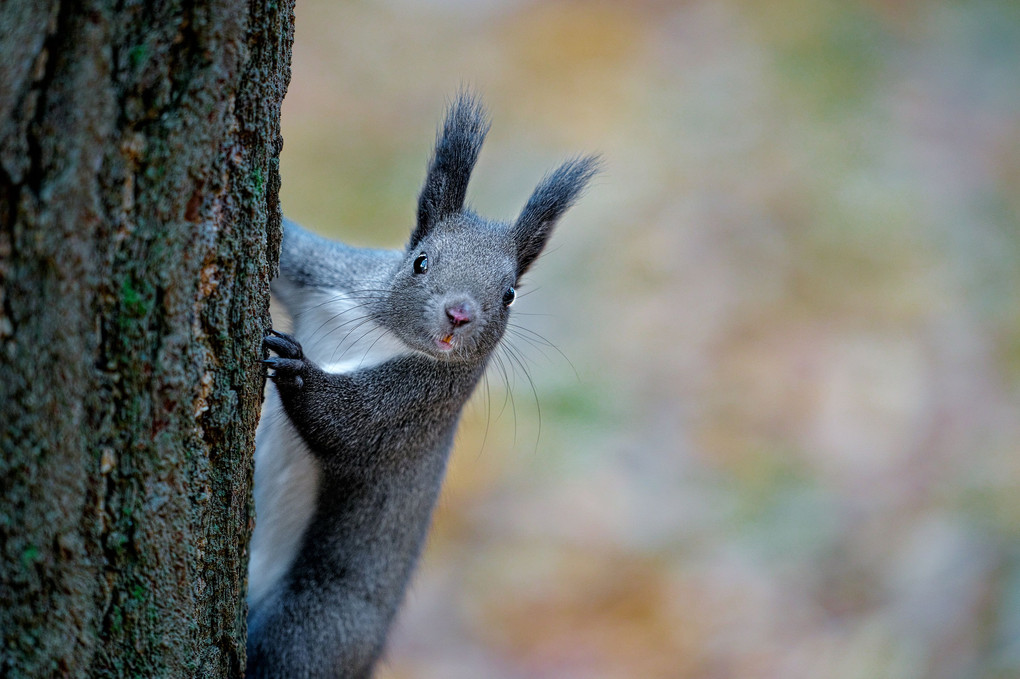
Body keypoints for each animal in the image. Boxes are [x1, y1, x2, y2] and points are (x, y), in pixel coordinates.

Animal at [245, 92, 595, 672]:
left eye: (509, 295)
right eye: (420, 261)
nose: (459, 314)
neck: (387, 333)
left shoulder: (421, 402)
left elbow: (350, 426)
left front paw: (296, 370)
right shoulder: (330, 275)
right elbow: (293, 251)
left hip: (313, 630)